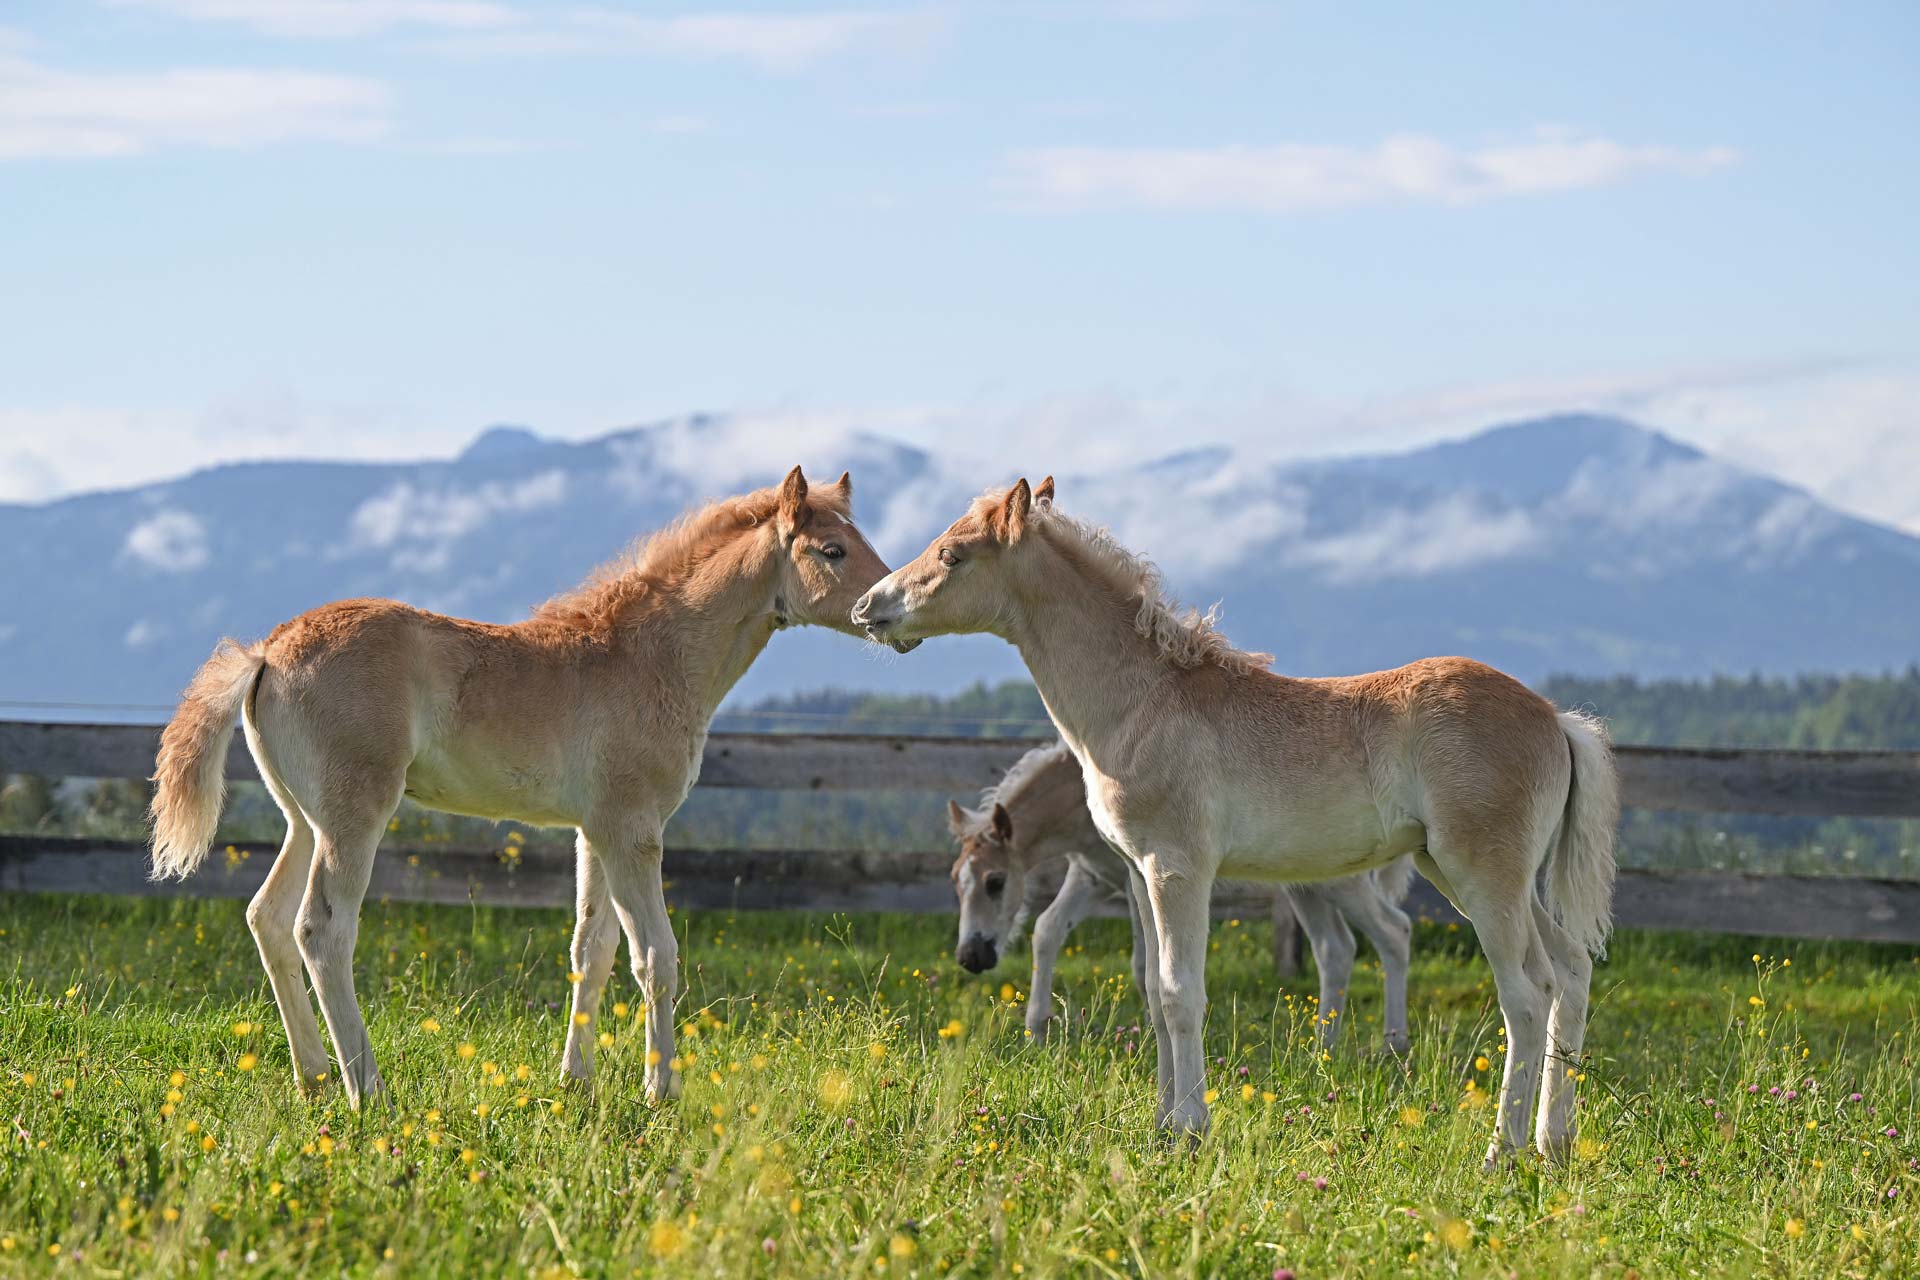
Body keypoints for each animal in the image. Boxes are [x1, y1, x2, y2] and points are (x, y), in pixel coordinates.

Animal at [150, 467, 912, 1110]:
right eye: (833, 549)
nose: (883, 612)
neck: (648, 658)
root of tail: (266, 652)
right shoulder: (633, 831)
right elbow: (655, 957)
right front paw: (660, 1091)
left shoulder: (594, 833)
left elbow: (591, 952)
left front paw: (577, 1082)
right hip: (351, 816)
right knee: (322, 929)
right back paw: (368, 1088)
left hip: (302, 821)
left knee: (268, 918)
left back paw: (312, 1077)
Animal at [948, 738, 1417, 1053]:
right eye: (956, 881)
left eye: (995, 881)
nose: (971, 956)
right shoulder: (1092, 875)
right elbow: (1047, 930)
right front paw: (1036, 1029)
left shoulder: (1137, 877)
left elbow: (1144, 965)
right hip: (1306, 884)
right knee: (1335, 949)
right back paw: (1322, 1046)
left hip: (1341, 881)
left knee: (1394, 932)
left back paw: (1392, 1047)